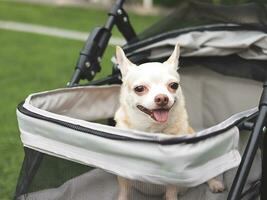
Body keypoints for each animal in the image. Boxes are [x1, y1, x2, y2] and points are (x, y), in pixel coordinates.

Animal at [115, 43, 226, 200]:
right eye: (139, 88)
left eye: (174, 85)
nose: (162, 98)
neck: (151, 131)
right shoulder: (122, 172)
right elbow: (124, 191)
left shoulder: (174, 174)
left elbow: (171, 192)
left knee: (207, 174)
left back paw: (215, 183)